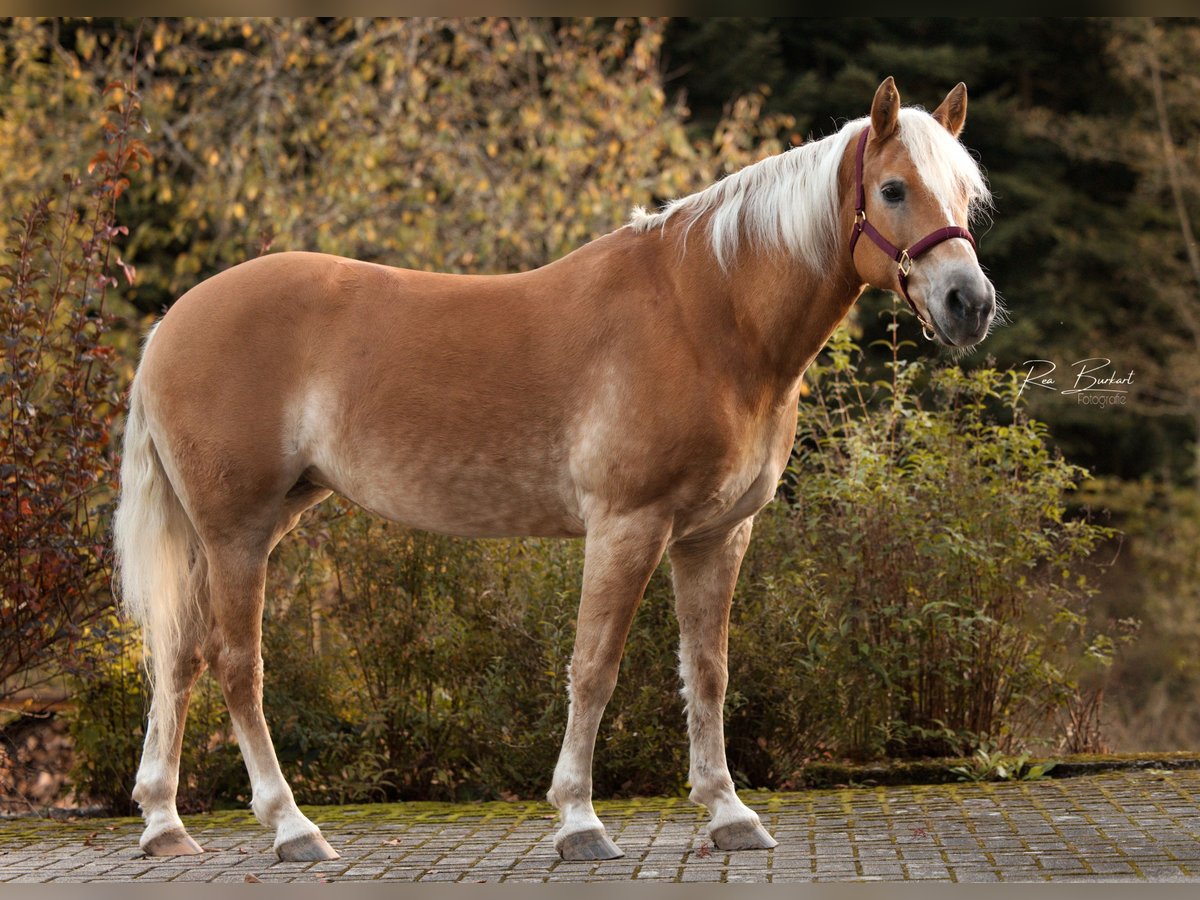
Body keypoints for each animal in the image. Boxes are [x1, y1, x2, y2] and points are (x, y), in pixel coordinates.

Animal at [112, 79, 993, 868]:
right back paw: (292, 827)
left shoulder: (715, 535)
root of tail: (171, 324)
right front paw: (579, 821)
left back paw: (165, 824)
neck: (706, 315)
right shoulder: (628, 526)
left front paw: (729, 813)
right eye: (893, 188)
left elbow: (707, 672)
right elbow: (594, 669)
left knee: (179, 656)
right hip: (238, 532)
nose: (969, 303)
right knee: (235, 665)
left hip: (230, 532)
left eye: (966, 195)